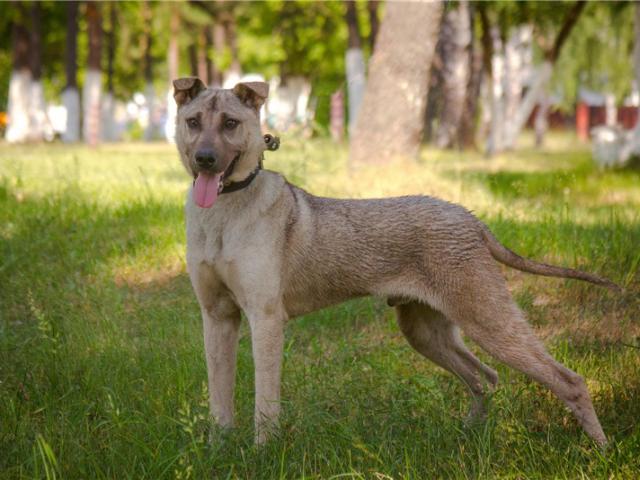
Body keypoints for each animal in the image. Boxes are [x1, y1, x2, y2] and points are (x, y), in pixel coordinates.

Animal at [172, 76, 616, 446]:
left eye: (230, 123)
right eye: (193, 122)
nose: (205, 159)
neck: (224, 213)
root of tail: (472, 220)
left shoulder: (264, 319)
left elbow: (265, 401)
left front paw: (262, 452)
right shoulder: (217, 317)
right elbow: (219, 395)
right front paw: (218, 448)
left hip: (488, 319)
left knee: (568, 381)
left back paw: (600, 450)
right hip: (426, 330)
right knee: (484, 377)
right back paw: (470, 432)